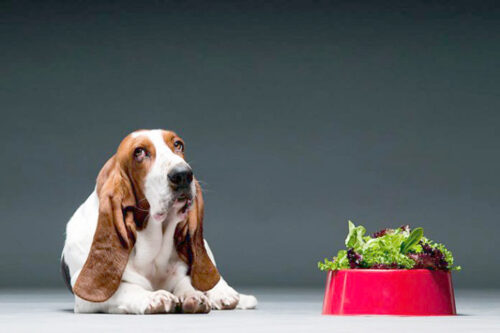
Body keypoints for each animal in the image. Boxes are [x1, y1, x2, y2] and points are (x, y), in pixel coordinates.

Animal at [60, 128, 258, 312]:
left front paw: (193, 296)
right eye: (139, 152)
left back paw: (224, 293)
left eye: (178, 145)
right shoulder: (84, 299)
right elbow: (124, 289)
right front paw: (153, 297)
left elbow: (186, 281)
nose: (183, 175)